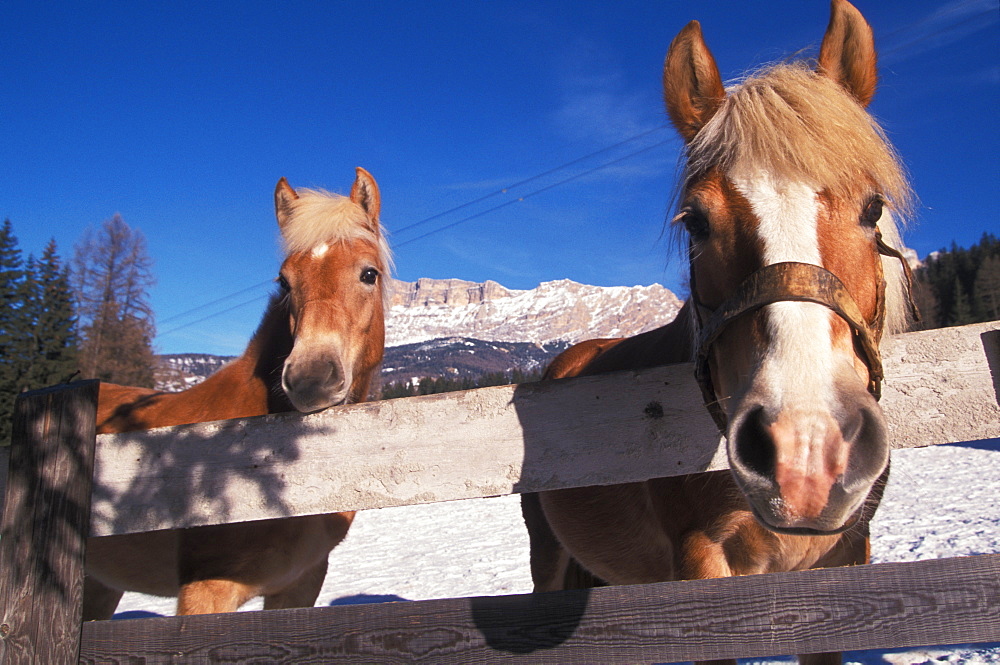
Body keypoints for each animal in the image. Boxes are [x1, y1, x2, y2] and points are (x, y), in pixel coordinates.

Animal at [524, 2, 920, 660]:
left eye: (872, 209)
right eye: (696, 222)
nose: (804, 450)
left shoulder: (841, 565)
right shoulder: (702, 567)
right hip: (549, 557)